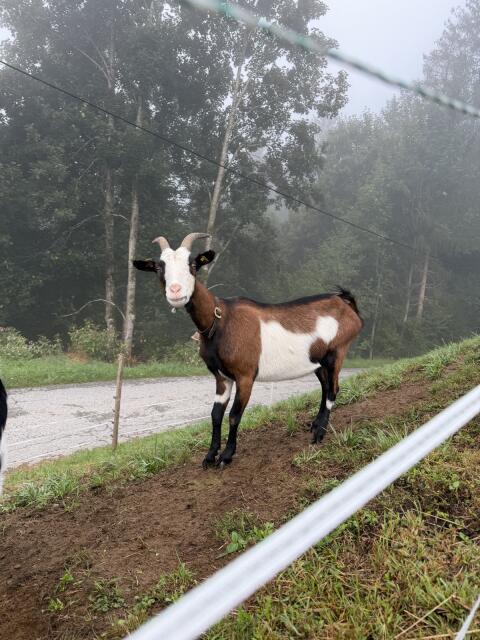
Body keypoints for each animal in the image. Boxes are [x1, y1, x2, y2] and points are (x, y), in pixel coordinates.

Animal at [134, 232, 363, 467]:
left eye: (193, 264)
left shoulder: (245, 375)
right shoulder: (222, 377)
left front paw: (226, 456)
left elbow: (234, 415)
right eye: (159, 267)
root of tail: (345, 304)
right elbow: (215, 414)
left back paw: (319, 435)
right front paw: (209, 456)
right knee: (325, 387)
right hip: (317, 360)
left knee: (333, 389)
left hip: (337, 352)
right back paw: (315, 426)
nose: (175, 292)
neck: (220, 320)